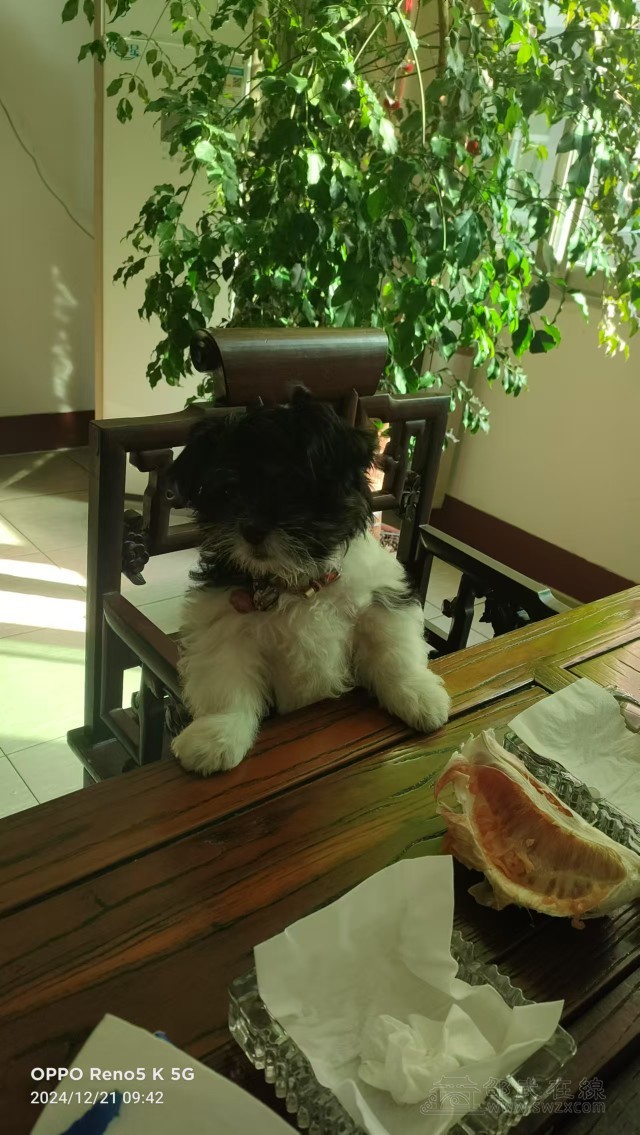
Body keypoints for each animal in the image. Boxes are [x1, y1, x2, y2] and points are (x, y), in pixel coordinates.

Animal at [166, 387, 450, 775]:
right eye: (227, 494)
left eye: (292, 489)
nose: (251, 528)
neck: (297, 584)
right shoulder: (223, 622)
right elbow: (226, 680)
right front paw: (216, 736)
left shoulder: (381, 597)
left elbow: (394, 650)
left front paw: (419, 695)